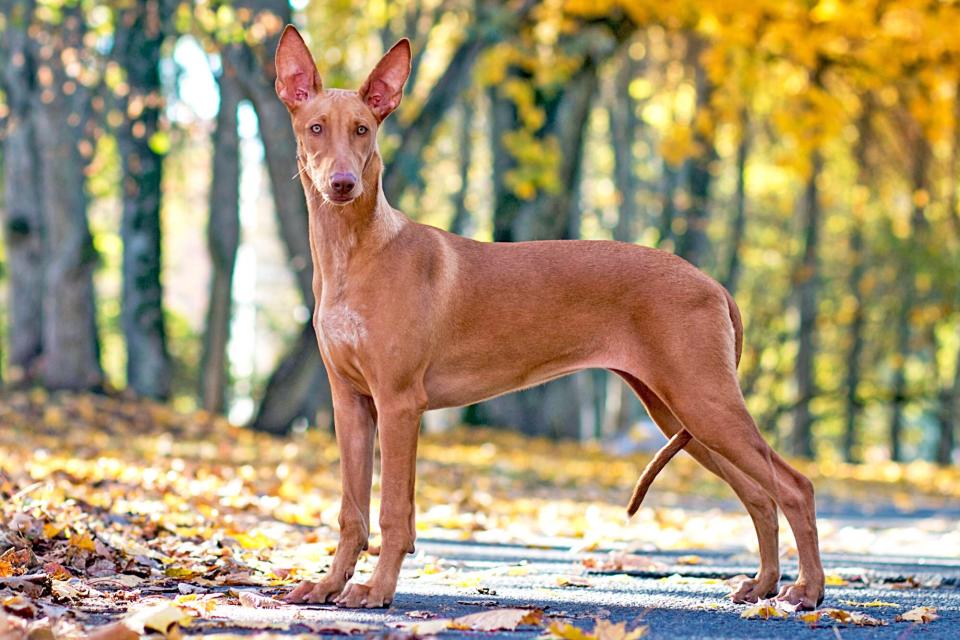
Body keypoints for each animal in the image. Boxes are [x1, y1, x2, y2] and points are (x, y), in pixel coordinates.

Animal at [274, 26, 820, 608]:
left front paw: (376, 591)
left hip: (703, 403)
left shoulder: (399, 403)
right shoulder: (351, 403)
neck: (355, 252)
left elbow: (394, 512)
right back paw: (763, 584)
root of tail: (713, 283)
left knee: (795, 486)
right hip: (681, 414)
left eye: (363, 129)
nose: (342, 183)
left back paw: (806, 591)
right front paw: (328, 585)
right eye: (315, 128)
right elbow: (350, 512)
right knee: (760, 495)